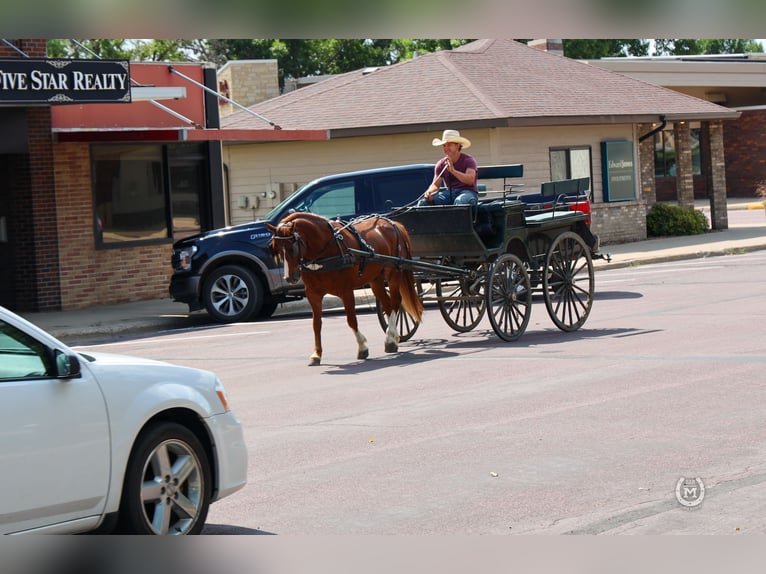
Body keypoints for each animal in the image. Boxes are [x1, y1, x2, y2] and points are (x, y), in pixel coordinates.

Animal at [268, 213, 426, 368]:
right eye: (277, 250)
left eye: (292, 248)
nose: (289, 277)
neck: (325, 250)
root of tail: (394, 223)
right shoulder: (313, 294)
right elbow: (316, 324)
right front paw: (316, 354)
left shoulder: (346, 291)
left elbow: (351, 320)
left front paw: (362, 347)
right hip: (376, 279)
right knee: (387, 305)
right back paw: (392, 337)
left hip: (395, 271)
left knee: (396, 303)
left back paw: (391, 338)